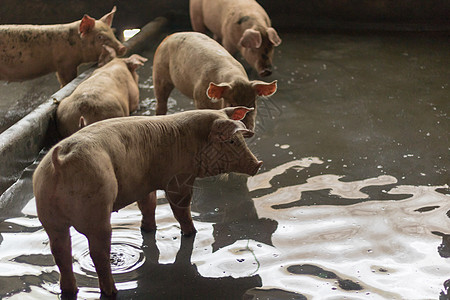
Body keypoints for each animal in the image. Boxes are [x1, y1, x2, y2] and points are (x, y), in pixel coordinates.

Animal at [33, 106, 262, 296]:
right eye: (232, 141)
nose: (258, 164)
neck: (192, 142)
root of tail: (61, 161)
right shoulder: (179, 179)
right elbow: (181, 209)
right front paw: (191, 233)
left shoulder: (145, 184)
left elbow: (148, 205)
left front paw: (149, 229)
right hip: (95, 211)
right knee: (98, 254)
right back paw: (112, 291)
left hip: (49, 216)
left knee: (61, 252)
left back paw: (69, 290)